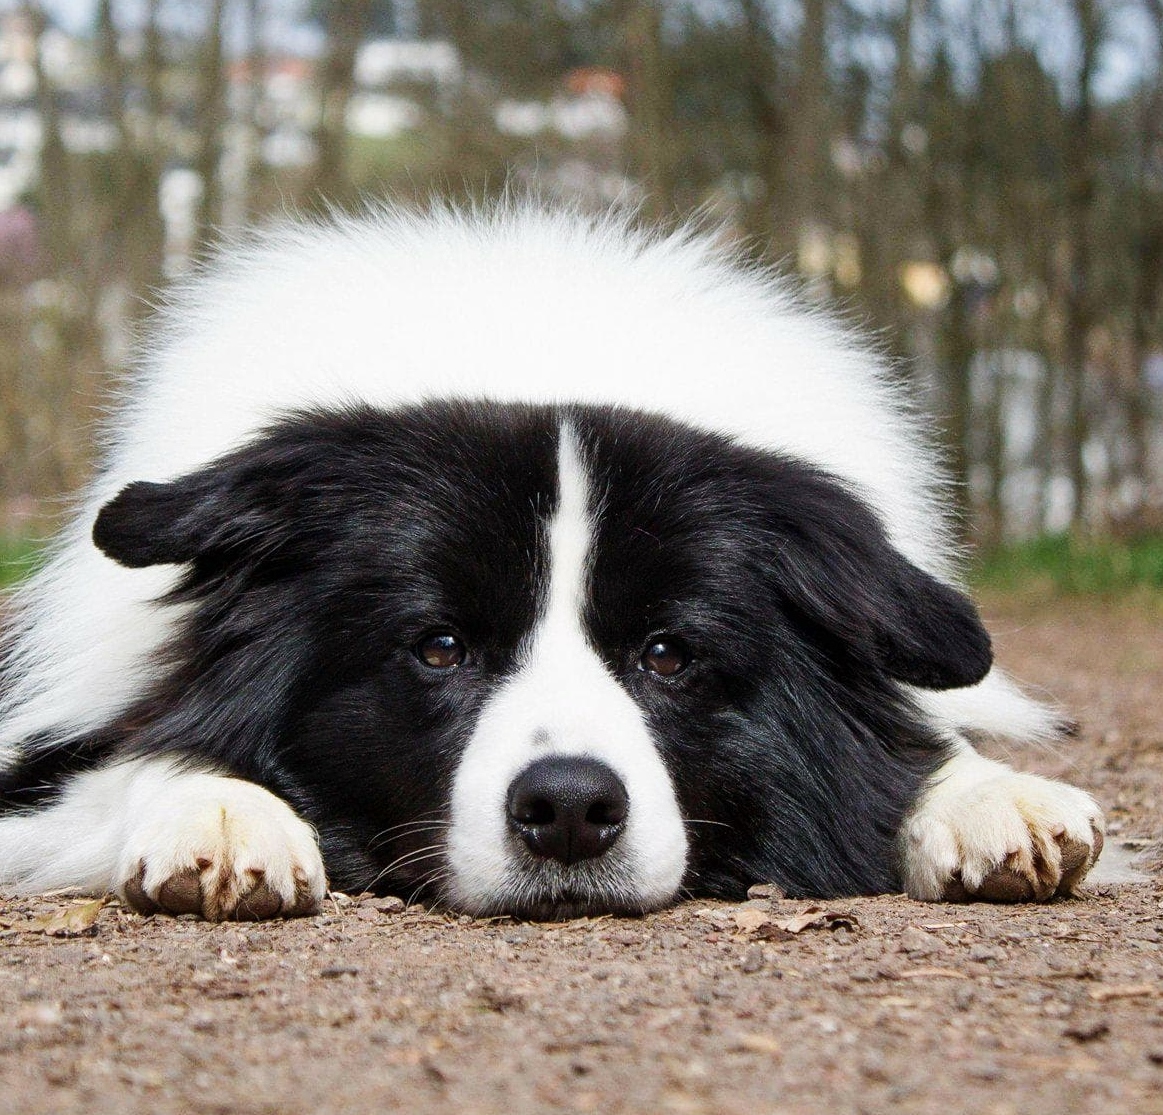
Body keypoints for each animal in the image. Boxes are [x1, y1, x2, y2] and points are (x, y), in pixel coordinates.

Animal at [0, 204, 1102, 920]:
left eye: (668, 654)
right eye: (438, 646)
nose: (569, 808)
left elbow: (911, 749)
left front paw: (985, 796)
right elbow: (135, 758)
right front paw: (218, 804)